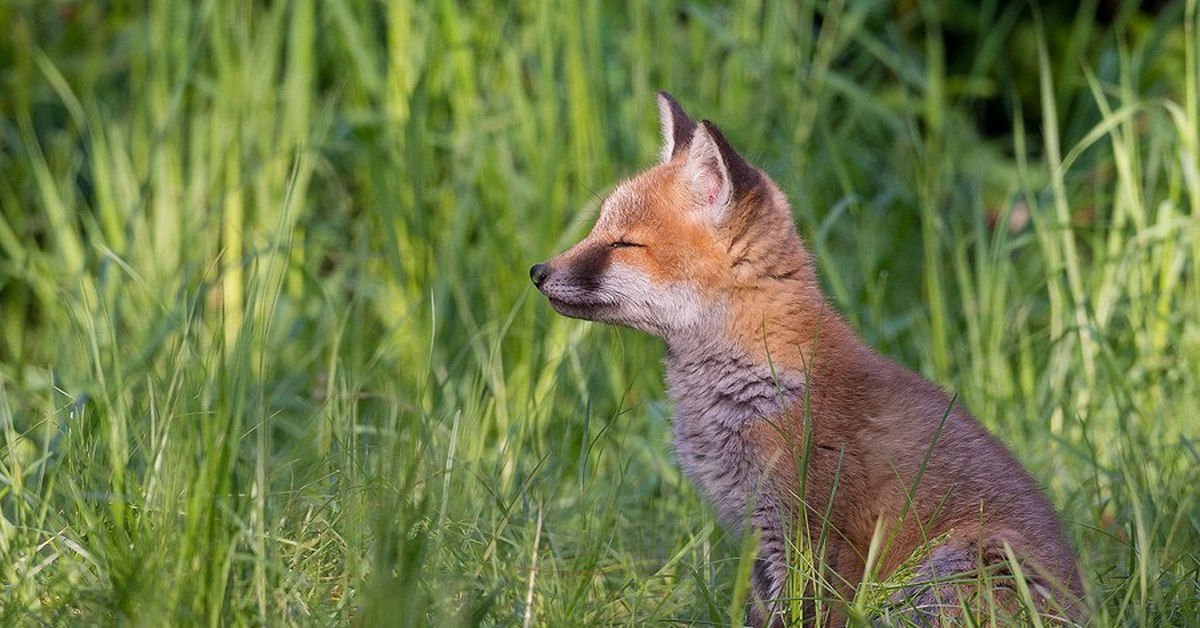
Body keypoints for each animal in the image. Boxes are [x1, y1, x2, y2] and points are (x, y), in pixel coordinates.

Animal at [530, 94, 1084, 628]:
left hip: (953, 568)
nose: (537, 271)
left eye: (623, 243)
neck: (754, 388)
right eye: (598, 228)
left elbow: (806, 611)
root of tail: (1085, 606)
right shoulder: (758, 536)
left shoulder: (809, 534)